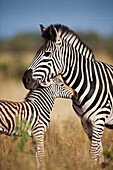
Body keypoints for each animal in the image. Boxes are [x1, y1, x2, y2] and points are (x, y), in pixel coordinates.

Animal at [22, 24, 113, 165]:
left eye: (47, 54)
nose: (25, 79)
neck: (87, 83)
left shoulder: (99, 119)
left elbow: (93, 152)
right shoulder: (85, 121)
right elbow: (99, 150)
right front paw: (99, 165)